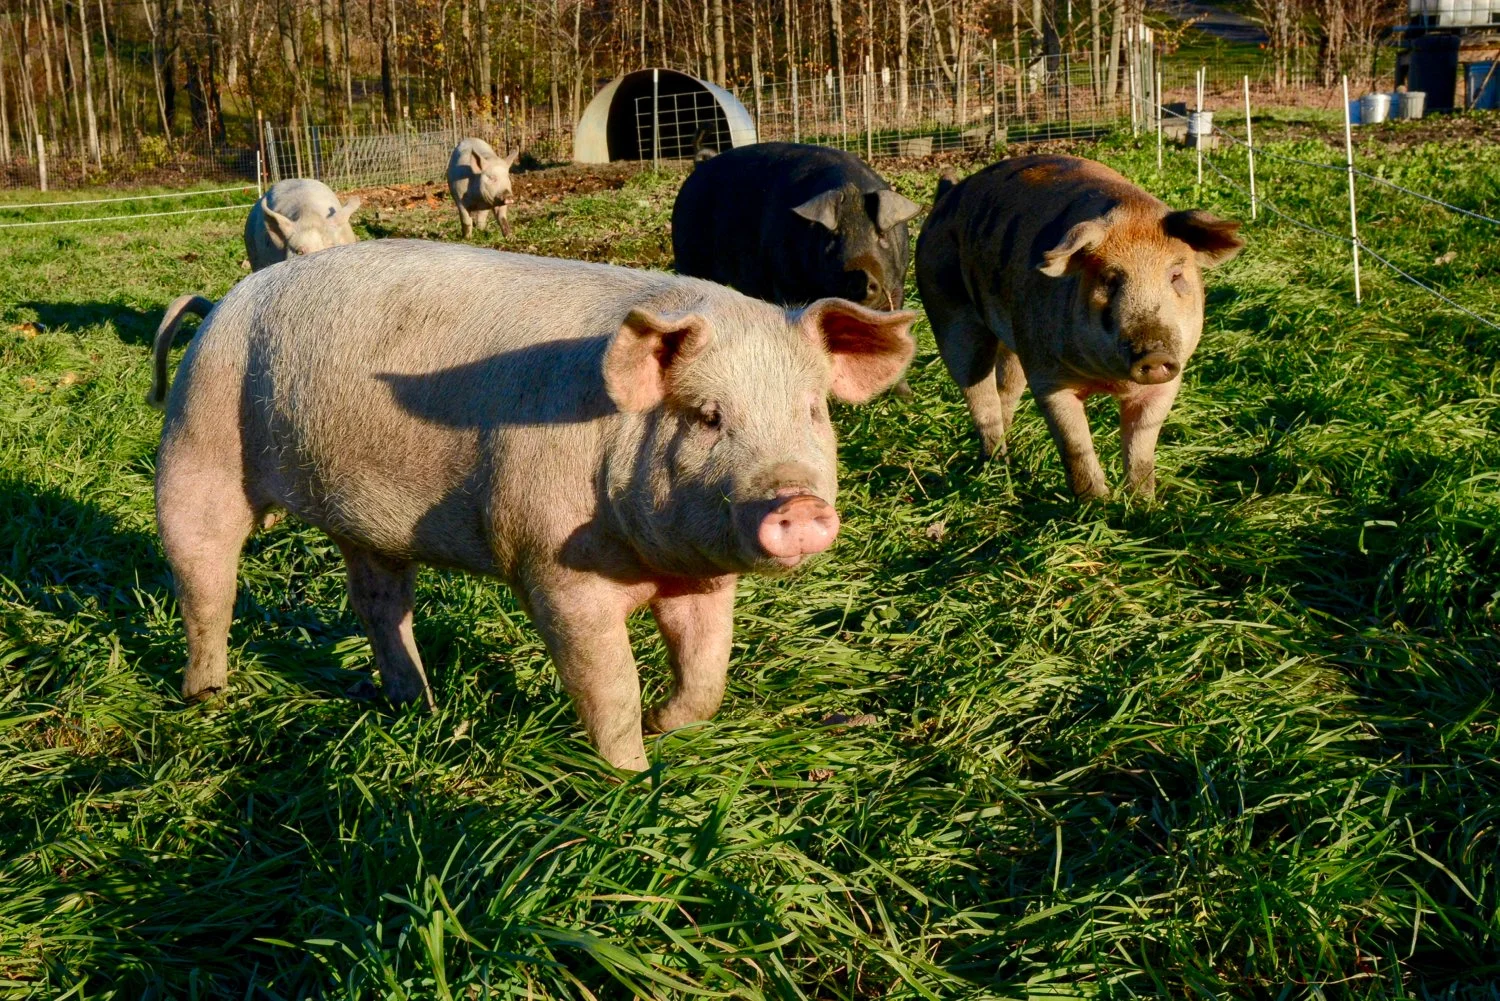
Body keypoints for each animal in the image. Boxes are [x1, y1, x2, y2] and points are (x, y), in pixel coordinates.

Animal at [151, 239, 916, 771]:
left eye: (812, 410)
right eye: (707, 416)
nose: (798, 502)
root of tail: (220, 303)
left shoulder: (702, 574)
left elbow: (708, 673)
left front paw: (667, 727)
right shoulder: (551, 567)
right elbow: (610, 686)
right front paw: (634, 777)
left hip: (363, 520)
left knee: (378, 602)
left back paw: (418, 703)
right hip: (196, 443)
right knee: (206, 582)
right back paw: (207, 698)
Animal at [671, 143, 921, 314]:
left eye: (881, 235)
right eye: (831, 238)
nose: (861, 273)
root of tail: (700, 165)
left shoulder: (897, 287)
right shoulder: (787, 286)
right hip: (688, 255)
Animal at [915, 155, 1243, 499]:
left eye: (1176, 275)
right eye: (1110, 279)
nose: (1153, 355)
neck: (1111, 380)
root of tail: (947, 195)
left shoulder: (1168, 382)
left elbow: (1141, 450)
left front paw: (1144, 503)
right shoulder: (1047, 376)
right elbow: (1075, 444)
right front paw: (1097, 503)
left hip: (1014, 340)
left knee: (1005, 390)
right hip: (949, 314)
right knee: (979, 395)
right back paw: (996, 466)